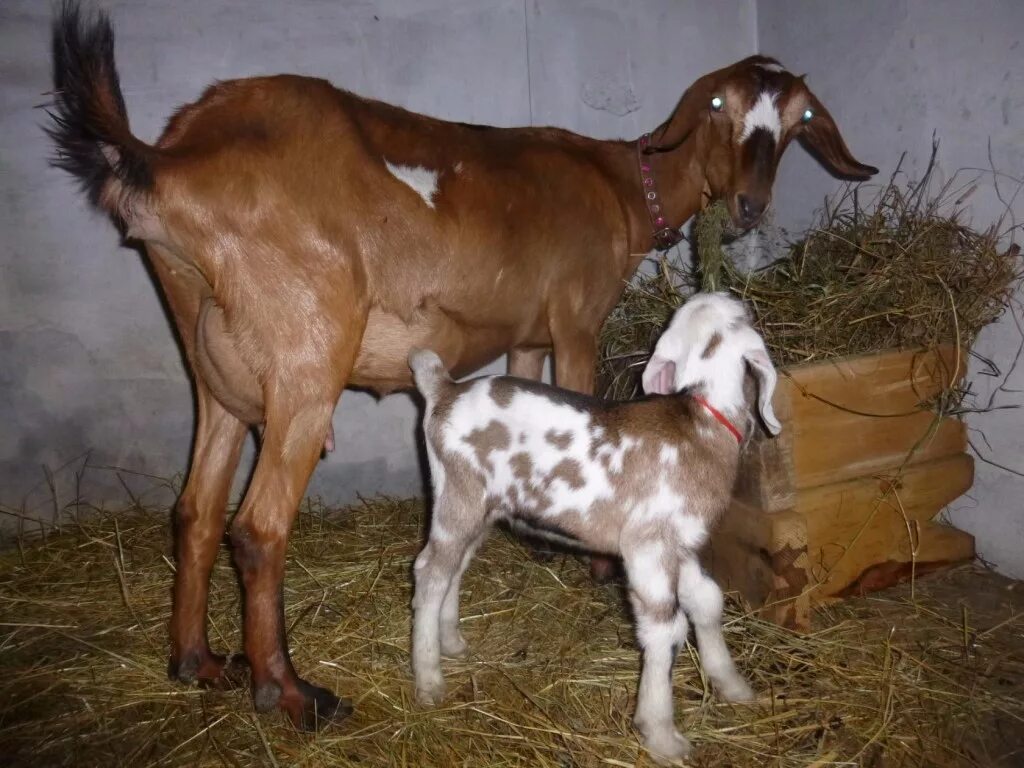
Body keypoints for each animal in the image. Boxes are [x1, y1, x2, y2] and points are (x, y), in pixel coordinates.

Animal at [48, 4, 876, 729]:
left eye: (799, 122)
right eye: (717, 103)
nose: (748, 205)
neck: (616, 185)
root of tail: (173, 159)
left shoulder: (528, 333)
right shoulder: (576, 317)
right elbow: (581, 395)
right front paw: (595, 564)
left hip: (213, 359)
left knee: (195, 509)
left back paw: (196, 661)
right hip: (304, 352)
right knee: (256, 529)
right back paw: (290, 693)